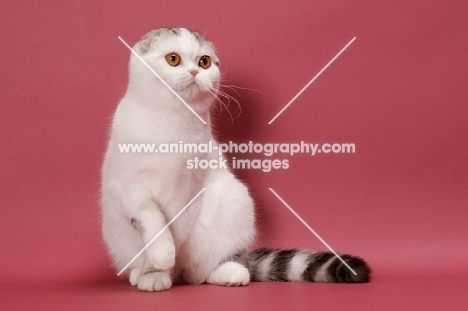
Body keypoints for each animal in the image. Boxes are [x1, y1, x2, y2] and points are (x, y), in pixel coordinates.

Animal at [100, 27, 372, 292]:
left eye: (204, 61)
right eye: (173, 59)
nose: (195, 71)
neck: (170, 122)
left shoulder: (187, 193)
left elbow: (175, 231)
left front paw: (159, 269)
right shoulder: (126, 187)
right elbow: (151, 217)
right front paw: (155, 268)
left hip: (236, 200)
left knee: (206, 272)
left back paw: (227, 273)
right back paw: (140, 273)